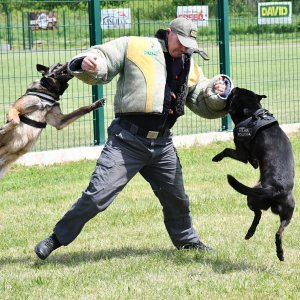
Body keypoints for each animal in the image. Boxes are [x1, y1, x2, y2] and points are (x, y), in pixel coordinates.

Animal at [212, 86, 294, 260]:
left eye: (233, 94)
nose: (233, 87)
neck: (252, 113)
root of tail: (275, 189)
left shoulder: (241, 153)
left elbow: (227, 150)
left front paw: (217, 157)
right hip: (288, 212)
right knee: (278, 231)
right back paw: (279, 252)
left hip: (251, 197)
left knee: (258, 215)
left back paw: (250, 233)